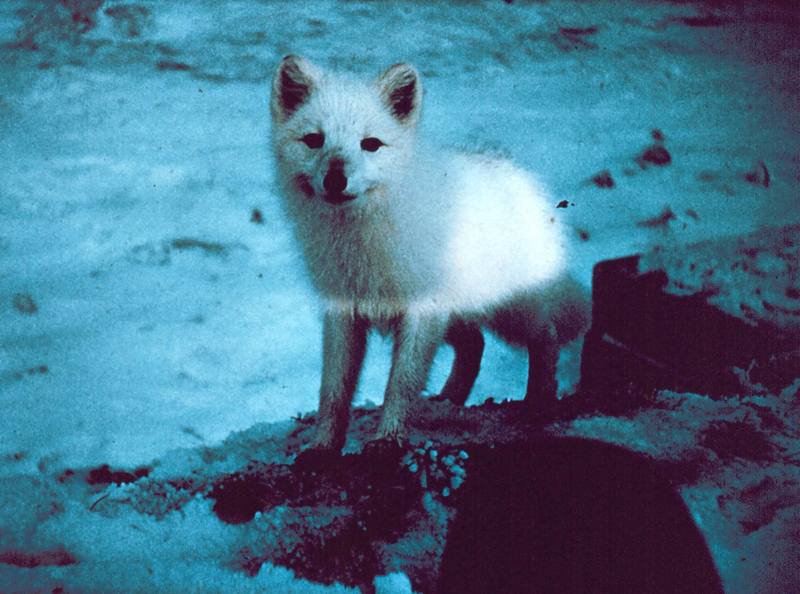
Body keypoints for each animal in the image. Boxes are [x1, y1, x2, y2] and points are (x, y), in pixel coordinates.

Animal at [268, 55, 588, 450]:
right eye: (314, 140)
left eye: (370, 144)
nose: (335, 180)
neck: (361, 239)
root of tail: (523, 178)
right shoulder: (342, 310)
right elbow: (333, 390)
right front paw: (322, 447)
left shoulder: (421, 310)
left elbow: (401, 383)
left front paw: (388, 440)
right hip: (455, 317)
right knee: (474, 345)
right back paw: (449, 401)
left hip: (511, 310)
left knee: (546, 338)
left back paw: (538, 404)